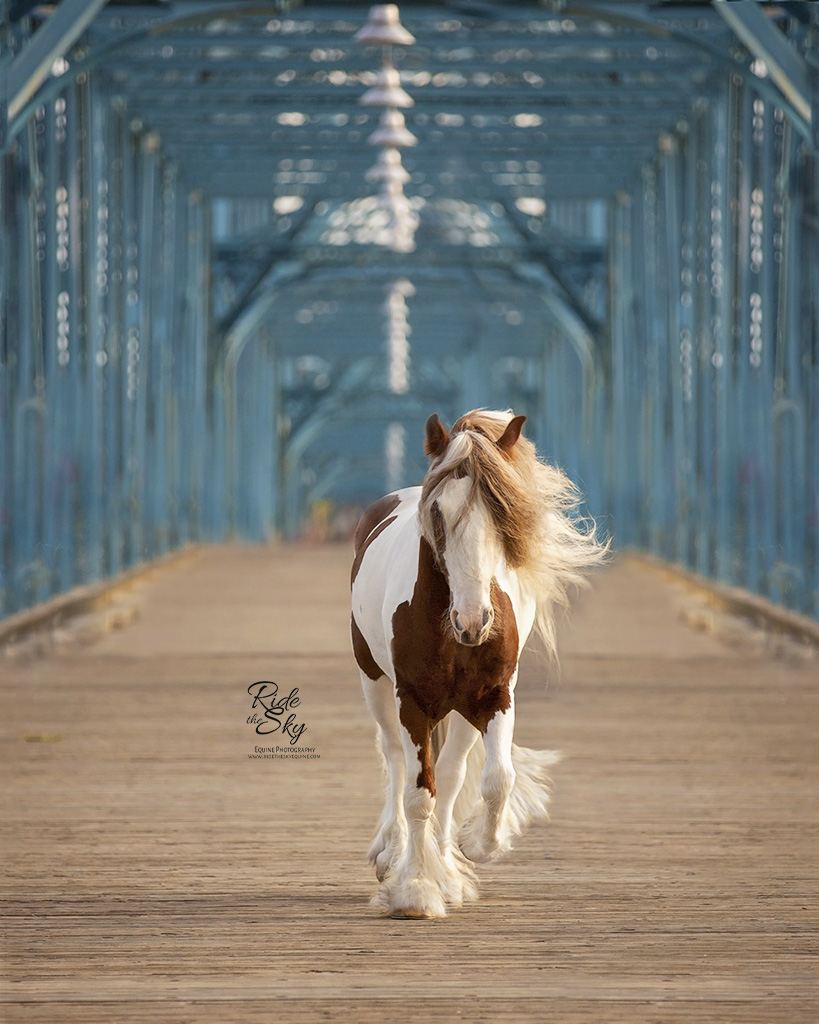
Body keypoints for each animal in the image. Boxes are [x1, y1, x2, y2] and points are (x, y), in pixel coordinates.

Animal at [348, 409, 606, 921]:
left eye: (503, 512)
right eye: (438, 513)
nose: (472, 621)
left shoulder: (494, 697)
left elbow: (495, 780)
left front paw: (474, 848)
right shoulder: (411, 702)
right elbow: (417, 794)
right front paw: (414, 889)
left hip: (463, 712)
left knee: (452, 778)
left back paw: (449, 871)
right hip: (375, 683)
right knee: (394, 760)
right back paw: (392, 852)